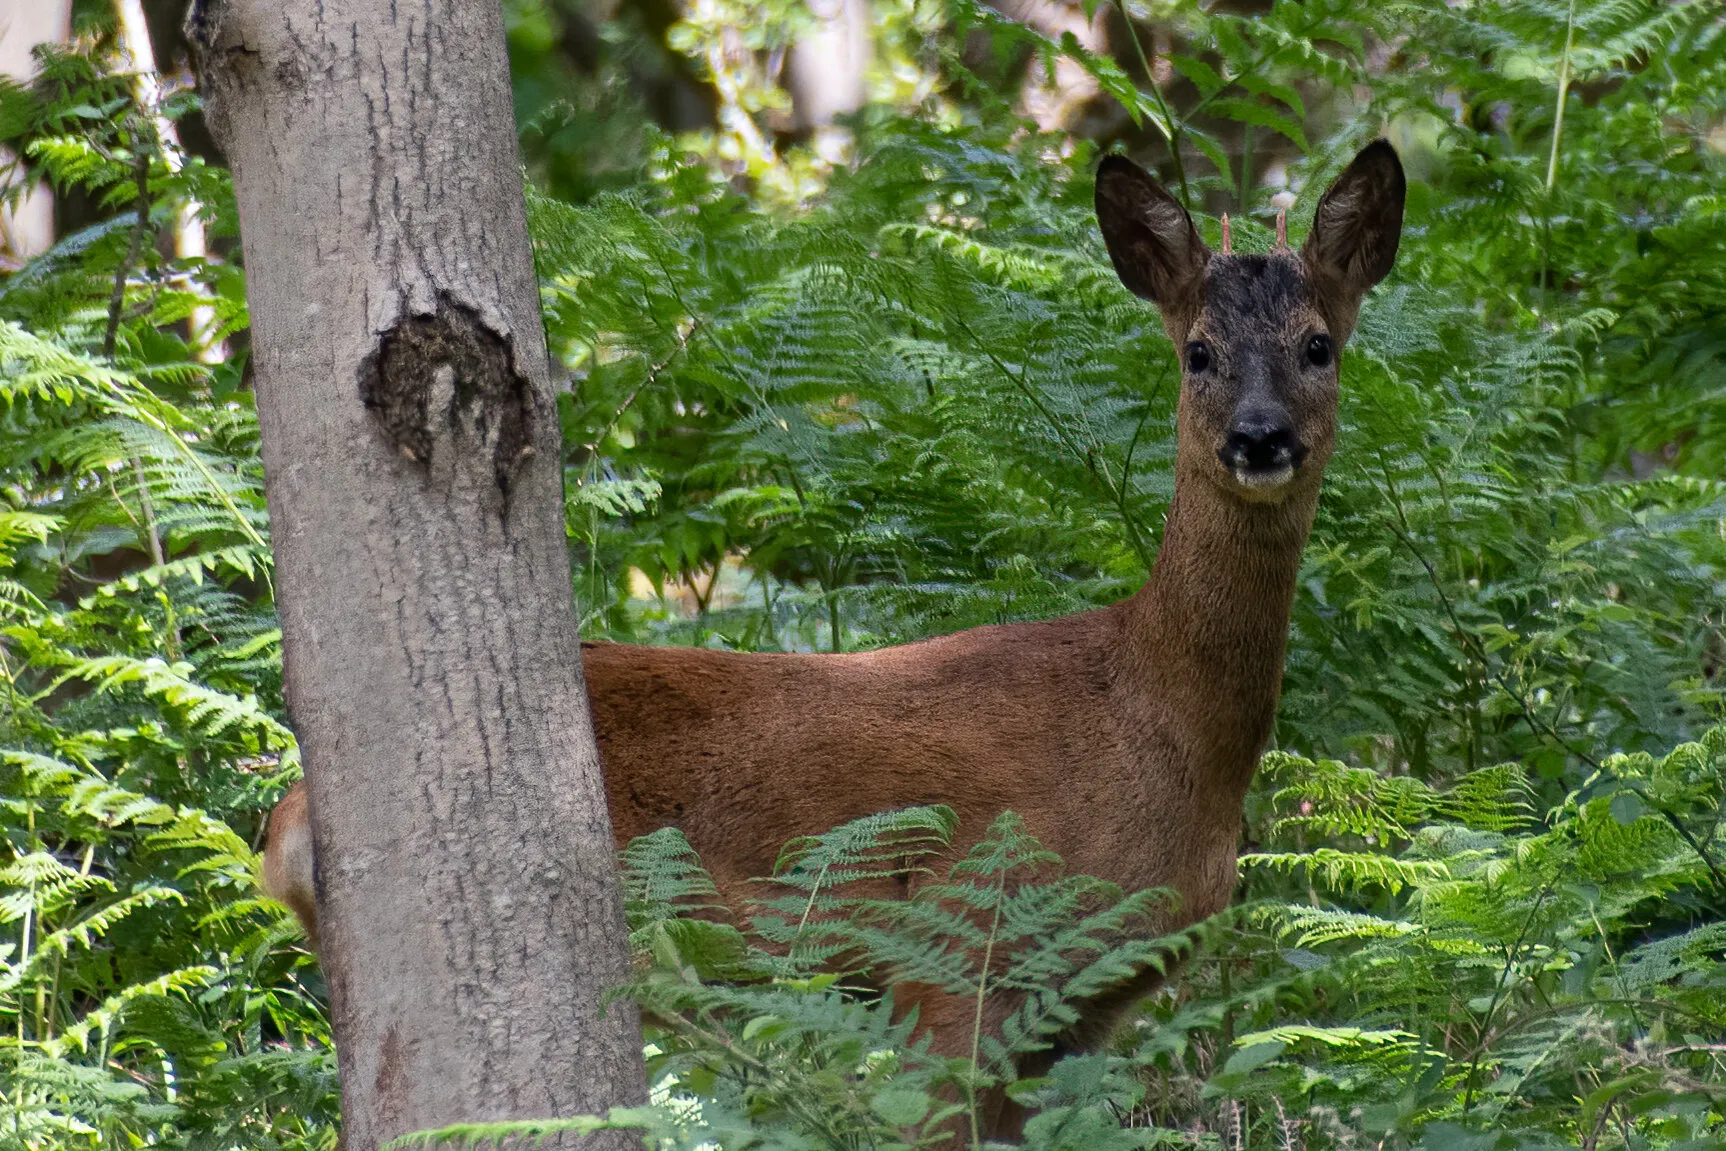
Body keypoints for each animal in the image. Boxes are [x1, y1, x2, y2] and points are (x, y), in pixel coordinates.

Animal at [263, 139, 1405, 1139]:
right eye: (1196, 351)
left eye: (1319, 343)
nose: (1259, 437)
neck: (1157, 718)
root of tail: (289, 817)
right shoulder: (951, 953)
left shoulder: (1076, 1010)